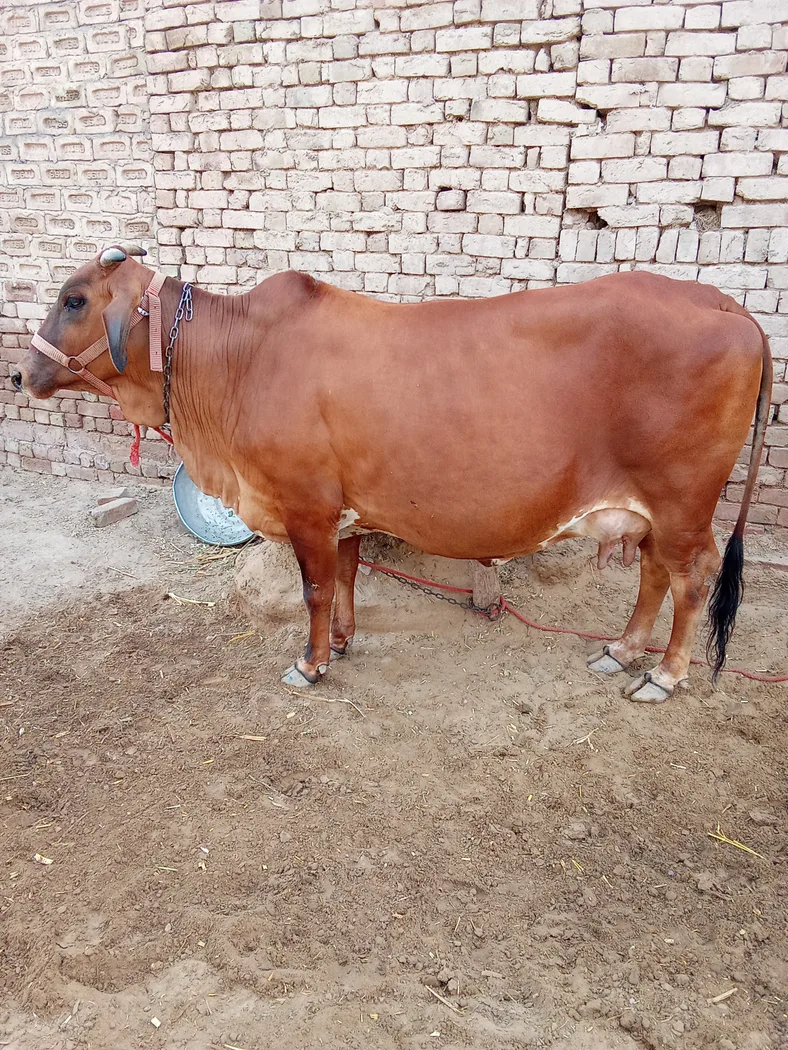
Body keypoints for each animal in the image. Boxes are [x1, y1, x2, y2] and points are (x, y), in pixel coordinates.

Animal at [13, 245, 772, 703]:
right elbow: (348, 577)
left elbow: (317, 588)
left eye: (75, 299)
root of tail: (719, 301)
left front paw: (311, 662)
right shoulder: (342, 512)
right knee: (653, 573)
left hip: (683, 501)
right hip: (651, 509)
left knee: (691, 577)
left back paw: (665, 675)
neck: (237, 359)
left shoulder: (307, 506)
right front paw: (343, 643)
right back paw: (620, 649)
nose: (21, 373)